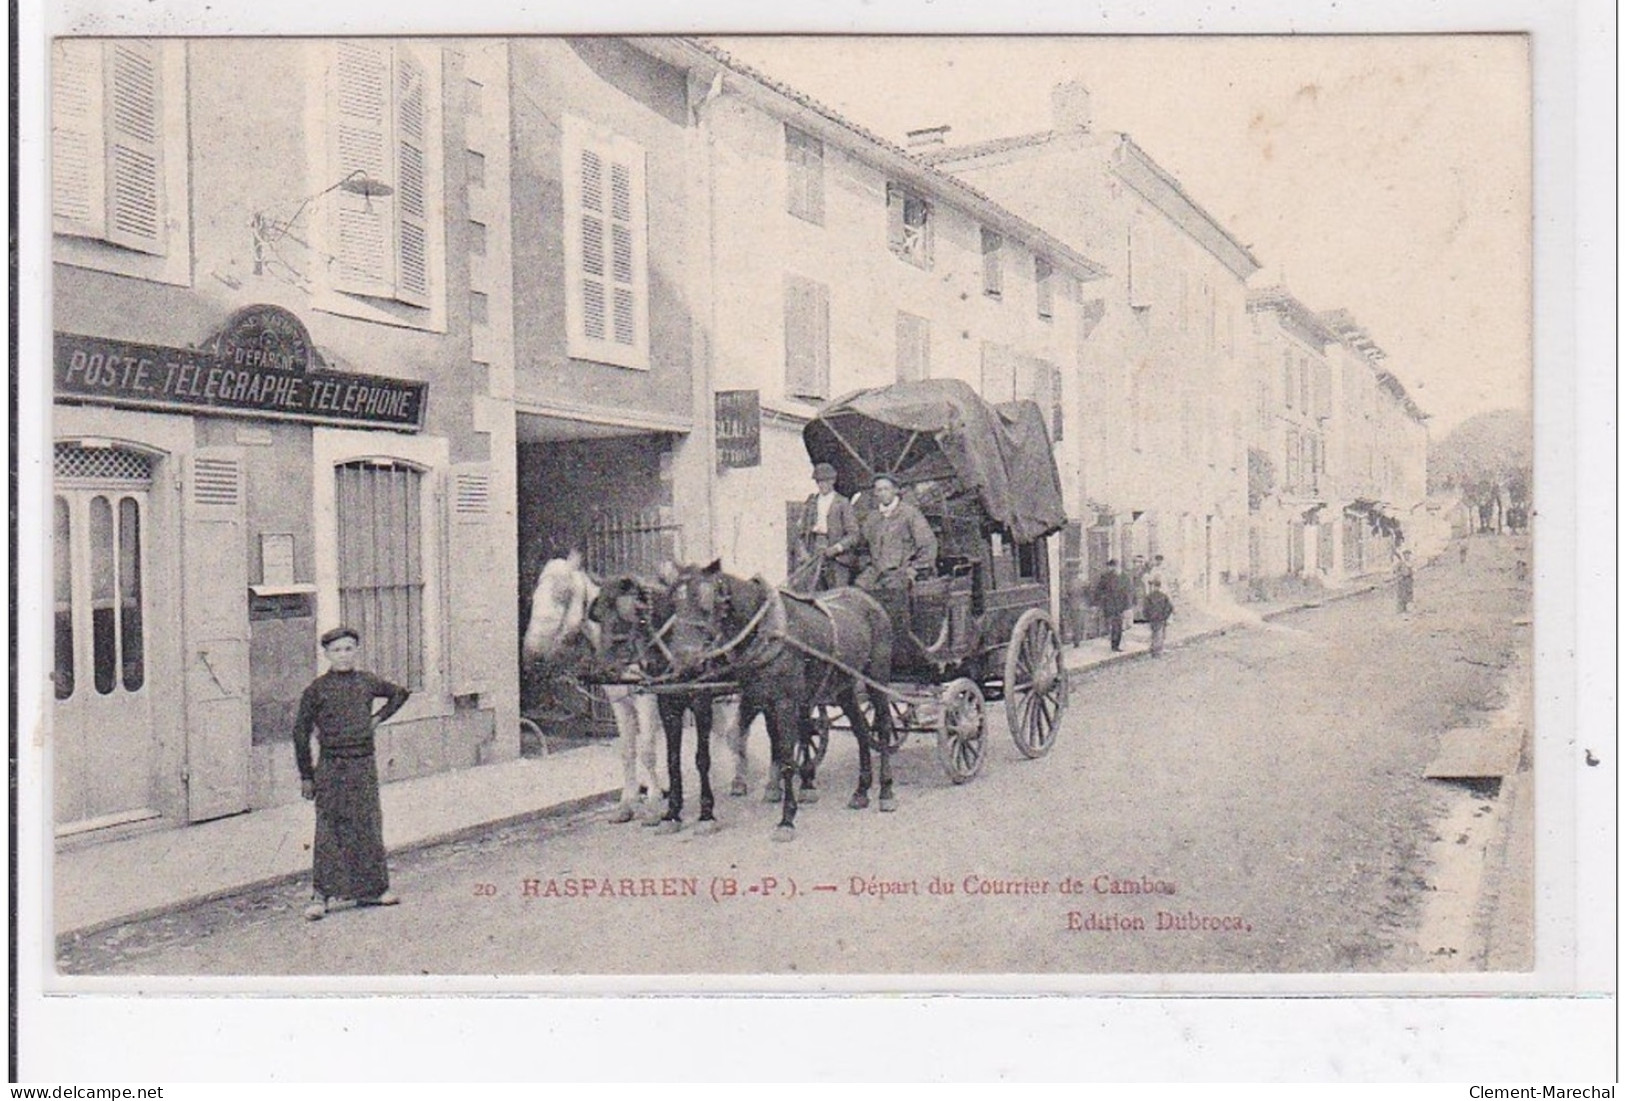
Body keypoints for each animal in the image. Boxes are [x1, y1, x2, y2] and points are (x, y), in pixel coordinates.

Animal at [669, 565, 903, 837]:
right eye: (674, 602)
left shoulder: (785, 703)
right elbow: (774, 747)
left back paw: (886, 792)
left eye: (705, 600)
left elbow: (787, 758)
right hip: (843, 687)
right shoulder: (762, 699)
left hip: (877, 678)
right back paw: (861, 791)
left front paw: (786, 819)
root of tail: (870, 601)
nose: (683, 659)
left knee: (883, 727)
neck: (766, 630)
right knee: (861, 730)